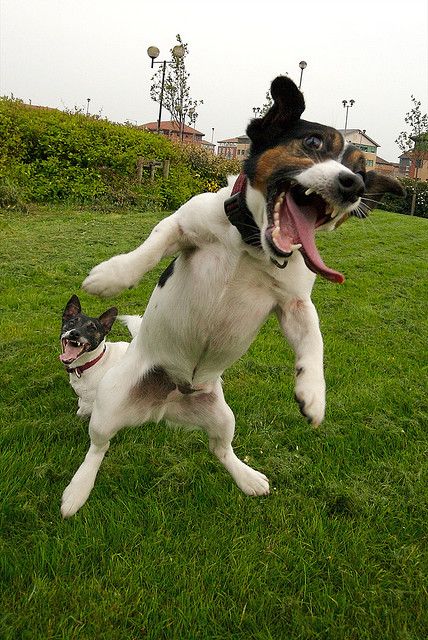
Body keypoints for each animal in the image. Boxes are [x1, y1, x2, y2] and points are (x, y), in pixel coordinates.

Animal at [61, 75, 404, 516]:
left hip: (222, 415)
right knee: (98, 447)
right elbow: (152, 247)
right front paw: (112, 276)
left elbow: (314, 342)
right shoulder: (180, 225)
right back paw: (77, 491)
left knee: (220, 449)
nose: (355, 184)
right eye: (312, 143)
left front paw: (313, 392)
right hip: (108, 405)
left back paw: (248, 477)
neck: (250, 243)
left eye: (363, 168)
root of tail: (165, 405)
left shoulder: (294, 303)